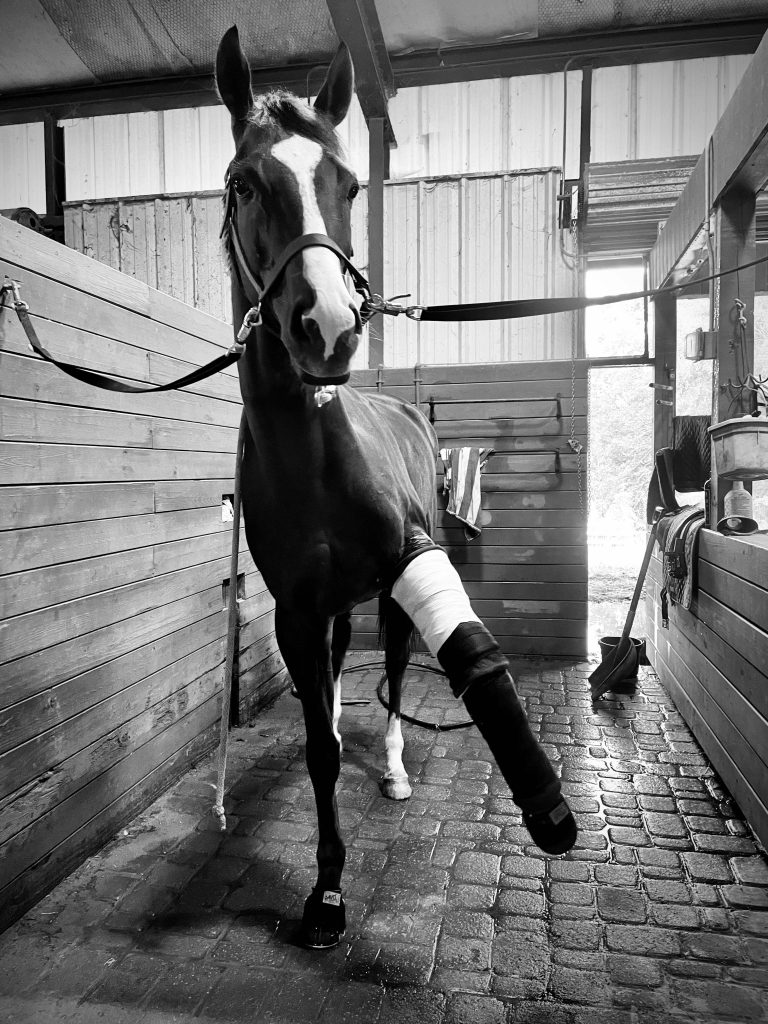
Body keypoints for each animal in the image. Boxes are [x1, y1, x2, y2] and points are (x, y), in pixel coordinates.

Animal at [215, 26, 577, 948]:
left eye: (347, 183)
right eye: (245, 183)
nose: (328, 326)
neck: (311, 452)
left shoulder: (410, 559)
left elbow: (469, 658)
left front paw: (546, 808)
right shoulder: (300, 609)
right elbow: (316, 745)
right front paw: (326, 892)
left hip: (385, 595)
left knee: (404, 673)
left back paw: (392, 765)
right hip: (340, 606)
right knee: (347, 675)